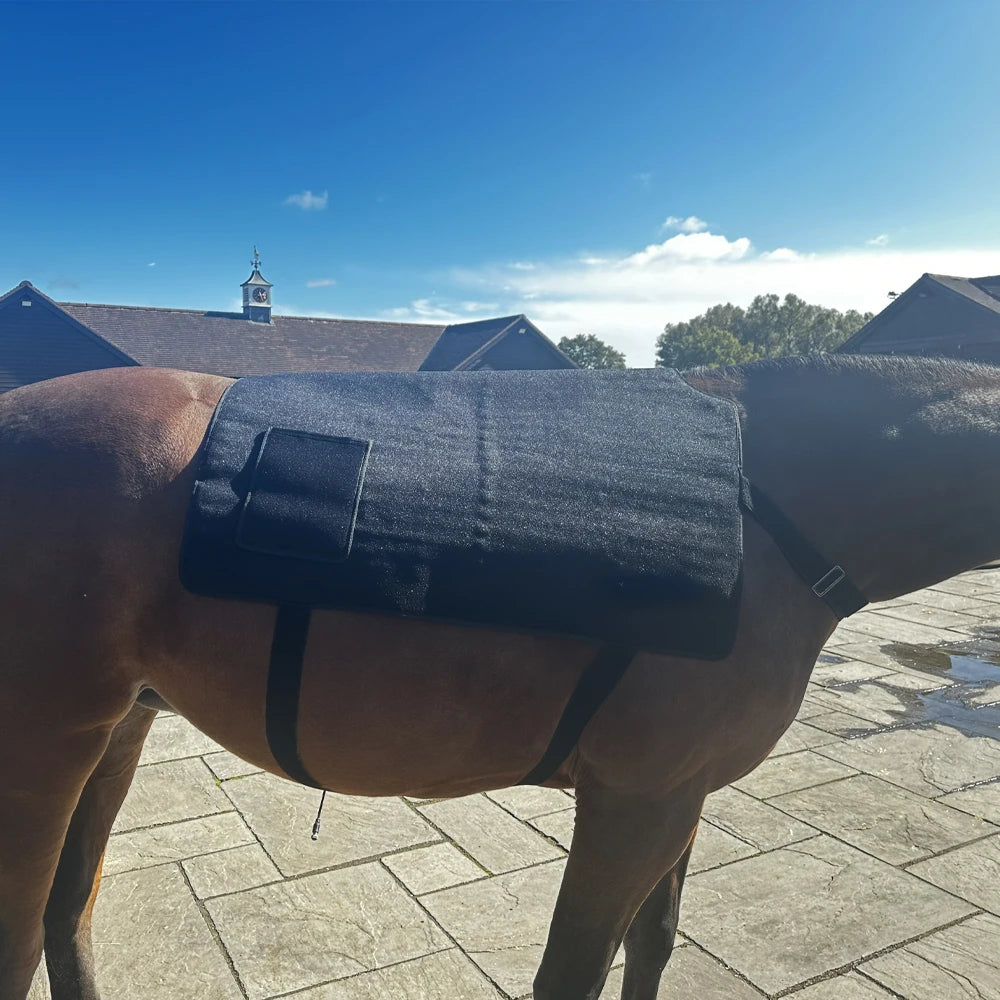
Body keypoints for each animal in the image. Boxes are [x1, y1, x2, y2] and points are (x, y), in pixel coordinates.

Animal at [1, 354, 998, 1000]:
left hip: (120, 729)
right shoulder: (637, 803)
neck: (776, 509)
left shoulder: (680, 793)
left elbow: (654, 946)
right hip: (44, 748)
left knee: (67, 916)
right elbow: (574, 976)